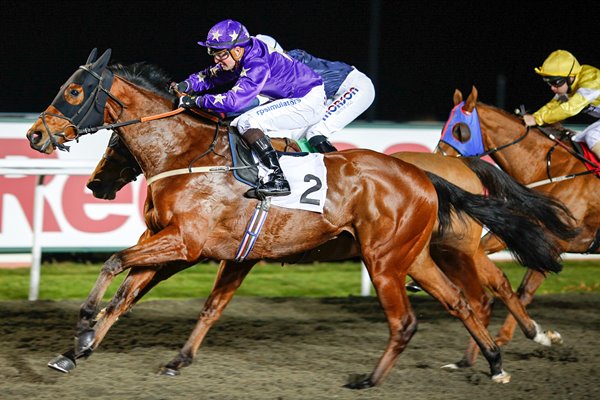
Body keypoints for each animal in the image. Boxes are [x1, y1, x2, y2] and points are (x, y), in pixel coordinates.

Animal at [27, 50, 572, 388]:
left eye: (74, 92)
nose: (34, 136)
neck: (187, 154)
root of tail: (423, 174)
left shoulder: (185, 243)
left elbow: (116, 264)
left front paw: (83, 324)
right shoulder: (191, 247)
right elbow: (136, 295)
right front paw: (78, 350)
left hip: (387, 260)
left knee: (410, 320)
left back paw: (371, 379)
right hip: (413, 255)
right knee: (460, 301)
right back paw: (495, 363)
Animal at [436, 85, 600, 366]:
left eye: (460, 130)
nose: (438, 159)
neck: (550, 170)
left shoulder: (555, 241)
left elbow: (524, 290)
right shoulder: (526, 229)